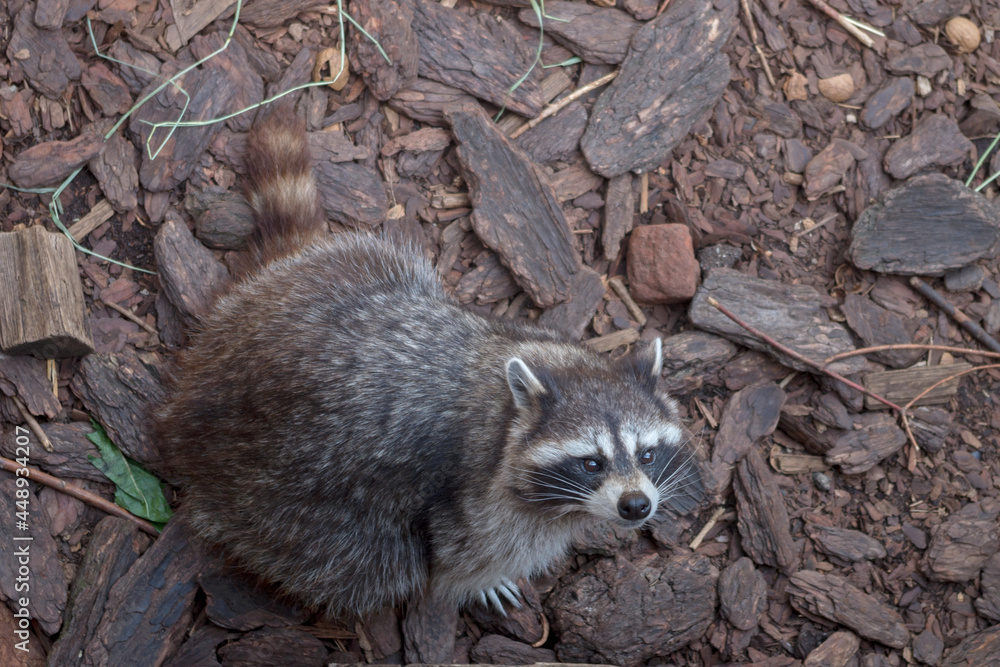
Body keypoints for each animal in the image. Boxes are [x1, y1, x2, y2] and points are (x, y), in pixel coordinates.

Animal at [154, 111, 704, 618]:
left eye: (648, 454)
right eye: (592, 462)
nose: (637, 506)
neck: (514, 405)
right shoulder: (478, 500)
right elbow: (463, 560)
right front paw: (479, 584)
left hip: (345, 271)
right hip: (288, 506)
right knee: (369, 565)